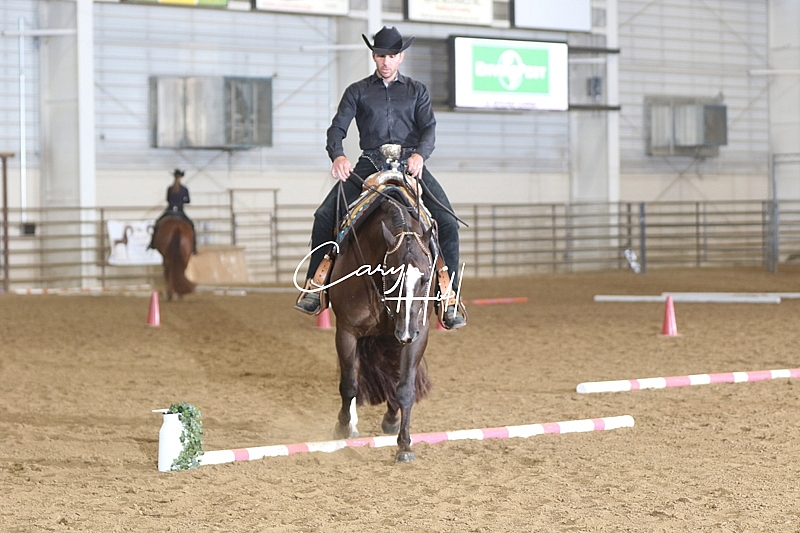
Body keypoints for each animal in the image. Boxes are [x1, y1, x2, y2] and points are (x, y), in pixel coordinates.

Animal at [327, 186, 436, 463]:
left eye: (425, 278)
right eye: (392, 275)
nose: (406, 331)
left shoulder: (418, 334)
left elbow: (405, 388)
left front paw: (405, 445)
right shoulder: (346, 331)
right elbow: (349, 384)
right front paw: (342, 426)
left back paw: (391, 419)